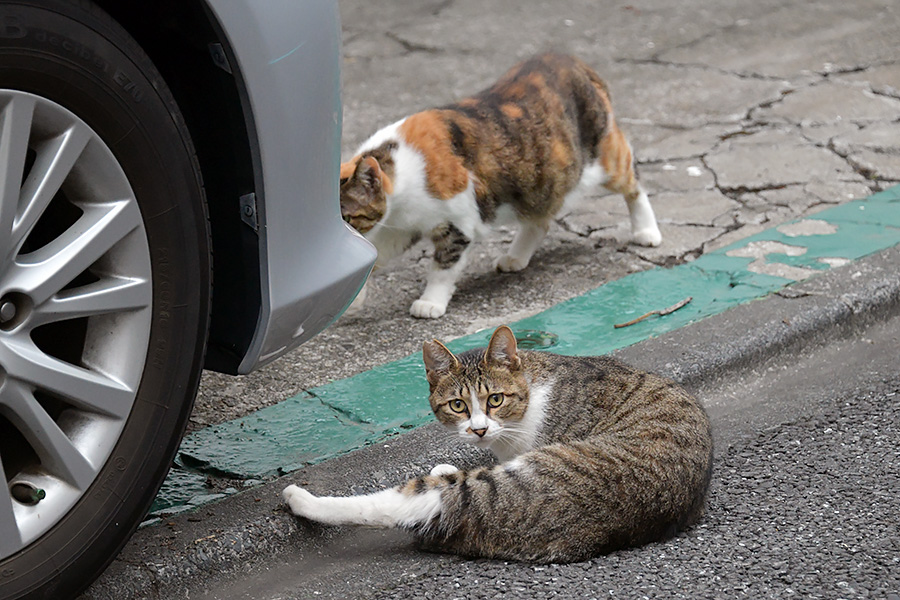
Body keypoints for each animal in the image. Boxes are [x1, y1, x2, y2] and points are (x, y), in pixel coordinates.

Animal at [284, 324, 712, 564]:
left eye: (495, 399)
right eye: (458, 405)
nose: (478, 430)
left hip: (497, 483)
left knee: (396, 503)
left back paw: (302, 499)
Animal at [338, 54, 660, 322]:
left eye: (349, 217)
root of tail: (572, 60)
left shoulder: (457, 222)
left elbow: (443, 266)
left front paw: (430, 302)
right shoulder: (402, 227)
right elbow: (376, 253)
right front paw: (353, 298)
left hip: (604, 161)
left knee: (634, 182)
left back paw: (647, 231)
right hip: (540, 184)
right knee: (539, 220)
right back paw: (516, 257)